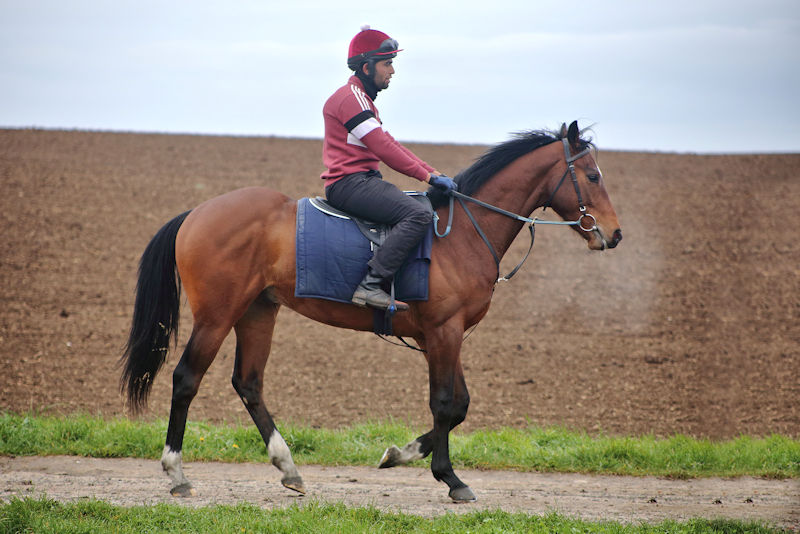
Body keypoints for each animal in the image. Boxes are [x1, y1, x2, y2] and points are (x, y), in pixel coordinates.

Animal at [120, 121, 622, 503]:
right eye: (593, 176)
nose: (614, 234)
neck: (462, 232)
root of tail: (197, 212)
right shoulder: (444, 332)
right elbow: (445, 404)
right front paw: (449, 477)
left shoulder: (442, 336)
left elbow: (459, 405)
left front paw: (402, 454)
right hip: (217, 316)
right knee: (186, 379)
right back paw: (177, 473)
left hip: (258, 311)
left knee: (248, 383)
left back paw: (289, 468)